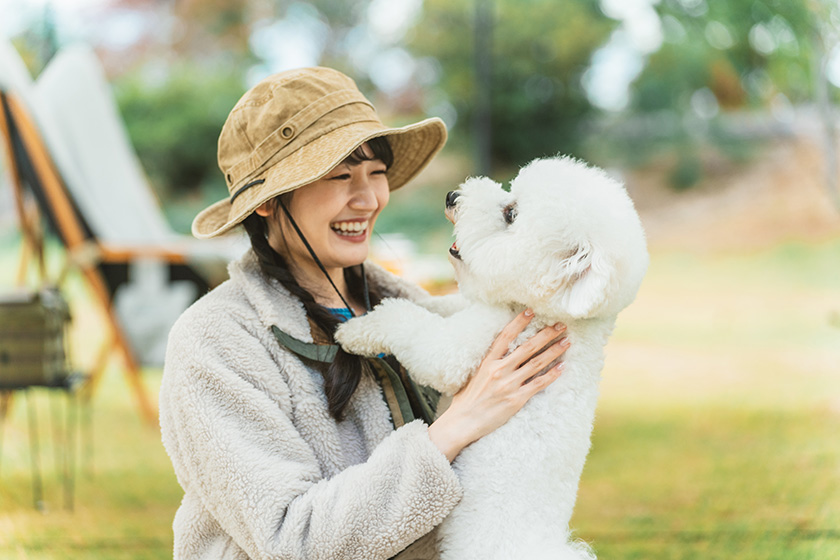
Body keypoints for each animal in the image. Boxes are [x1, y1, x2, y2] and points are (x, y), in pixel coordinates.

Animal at [334, 156, 648, 560]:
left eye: (510, 214)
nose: (452, 196)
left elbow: (412, 328)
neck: (551, 314)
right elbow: (445, 304)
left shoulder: (477, 342)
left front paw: (354, 331)